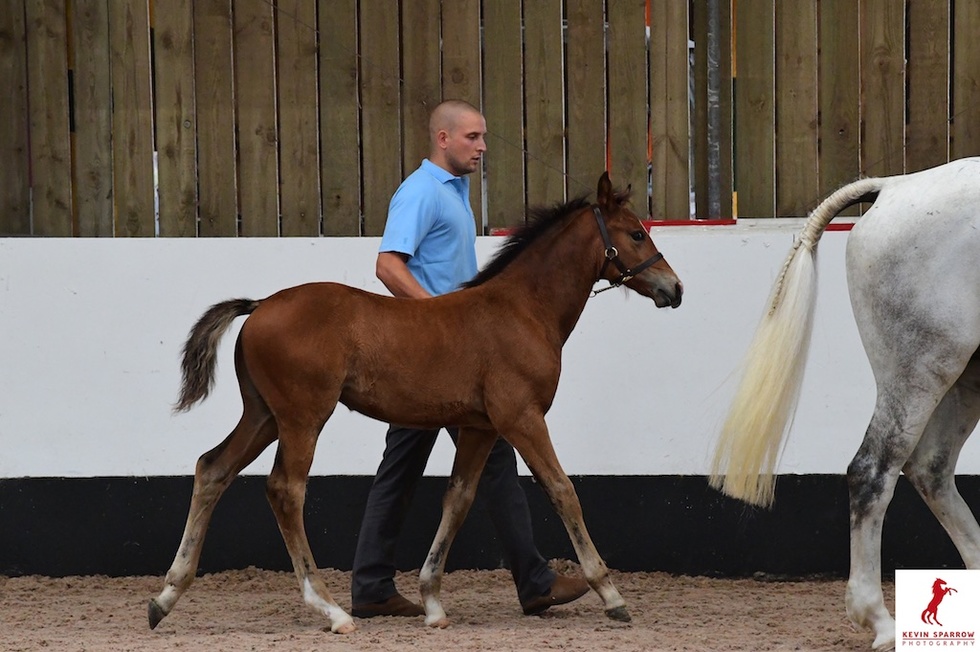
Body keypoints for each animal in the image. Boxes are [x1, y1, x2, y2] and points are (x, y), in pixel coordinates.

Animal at [147, 172, 683, 635]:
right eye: (636, 234)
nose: (674, 288)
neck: (523, 310)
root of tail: (260, 306)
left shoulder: (481, 428)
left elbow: (459, 499)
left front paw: (432, 602)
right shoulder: (522, 418)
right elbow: (562, 490)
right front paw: (611, 595)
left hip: (263, 416)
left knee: (212, 468)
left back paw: (166, 597)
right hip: (302, 418)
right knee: (285, 489)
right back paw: (332, 610)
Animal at [708, 157, 980, 651]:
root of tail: (894, 188)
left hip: (965, 374)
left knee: (931, 468)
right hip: (922, 368)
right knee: (873, 472)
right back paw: (879, 620)